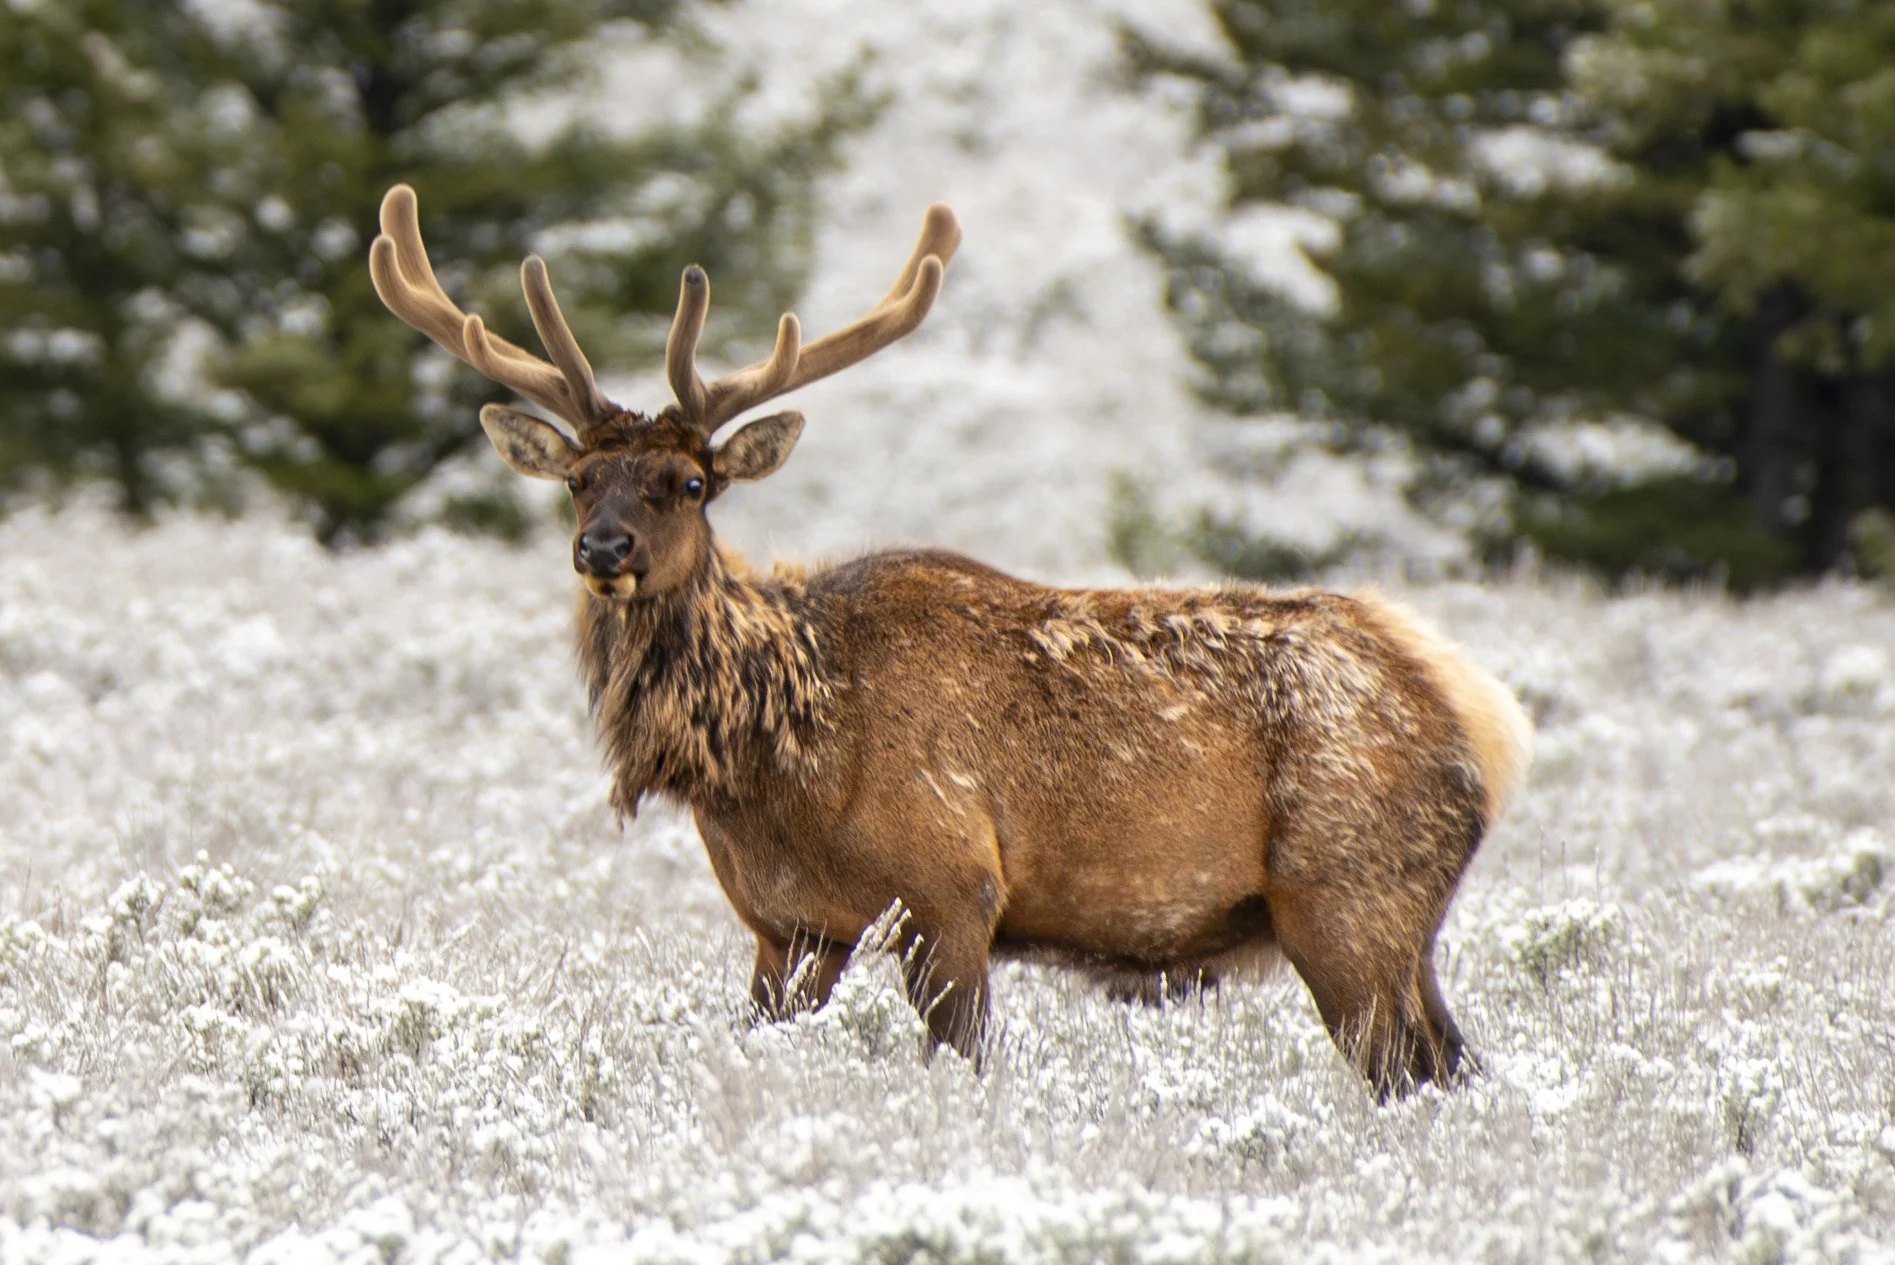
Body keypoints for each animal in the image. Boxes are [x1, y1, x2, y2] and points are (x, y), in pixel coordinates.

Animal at [368, 183, 1532, 1096]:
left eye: (688, 481)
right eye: (576, 478)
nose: (603, 547)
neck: (774, 767)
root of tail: (1481, 712)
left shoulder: (948, 892)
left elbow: (963, 1061)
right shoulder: (786, 928)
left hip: (1349, 897)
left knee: (1417, 1069)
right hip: (1390, 918)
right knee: (1454, 1067)